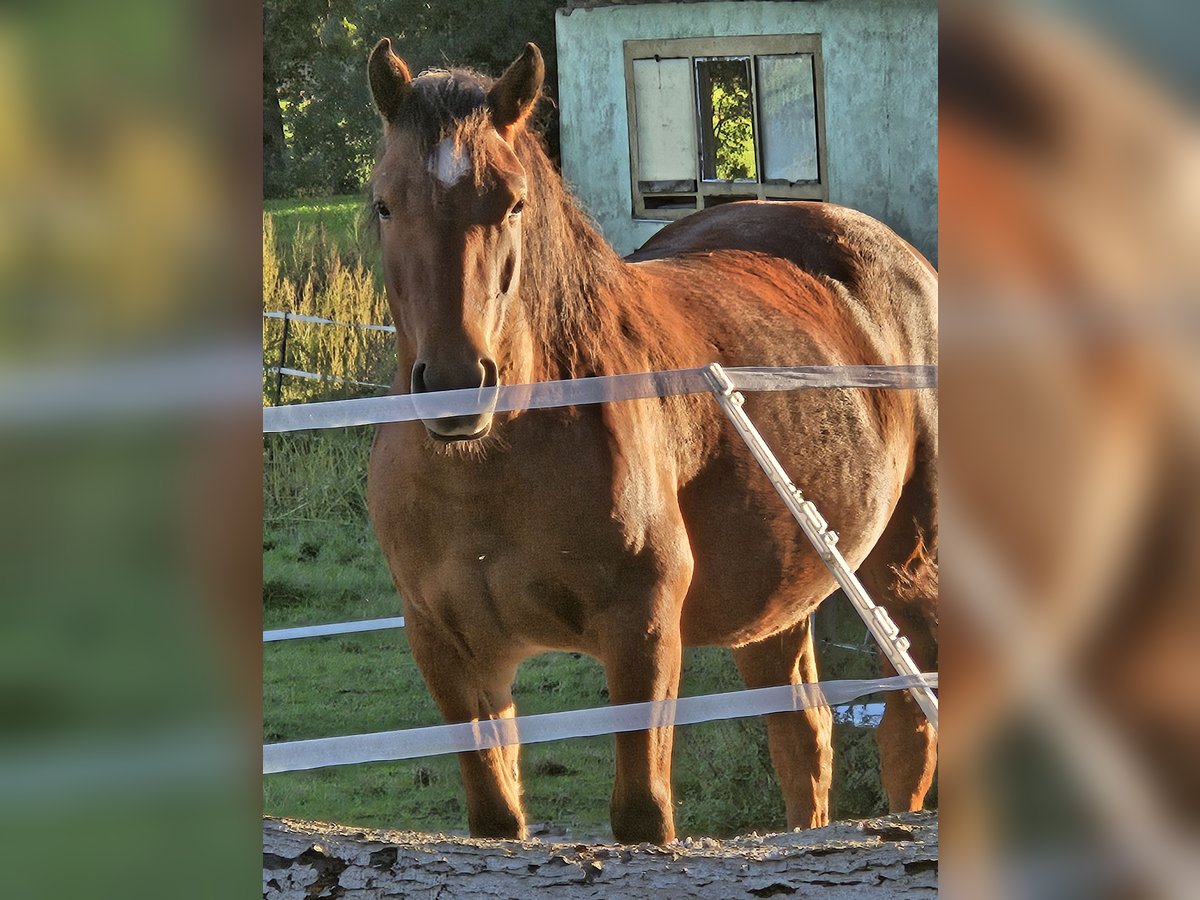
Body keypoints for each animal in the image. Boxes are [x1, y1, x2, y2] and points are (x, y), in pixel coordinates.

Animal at [364, 40, 936, 844]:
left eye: (512, 203)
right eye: (386, 203)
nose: (454, 381)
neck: (490, 470)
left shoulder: (641, 633)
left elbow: (643, 816)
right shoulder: (451, 653)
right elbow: (497, 820)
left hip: (906, 569)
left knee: (910, 727)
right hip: (781, 599)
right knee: (804, 738)